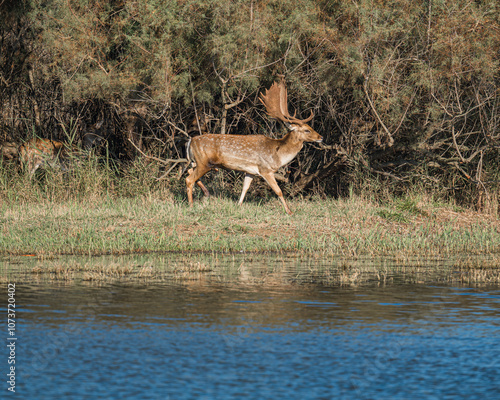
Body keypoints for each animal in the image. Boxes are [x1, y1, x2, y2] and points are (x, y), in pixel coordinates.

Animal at [186, 79, 322, 216]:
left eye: (310, 127)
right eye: (307, 130)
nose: (320, 137)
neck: (278, 153)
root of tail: (191, 141)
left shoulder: (250, 171)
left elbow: (245, 188)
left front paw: (238, 205)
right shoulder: (265, 169)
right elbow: (278, 191)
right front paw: (289, 211)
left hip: (196, 161)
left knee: (189, 172)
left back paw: (205, 194)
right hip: (204, 162)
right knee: (189, 179)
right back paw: (191, 205)